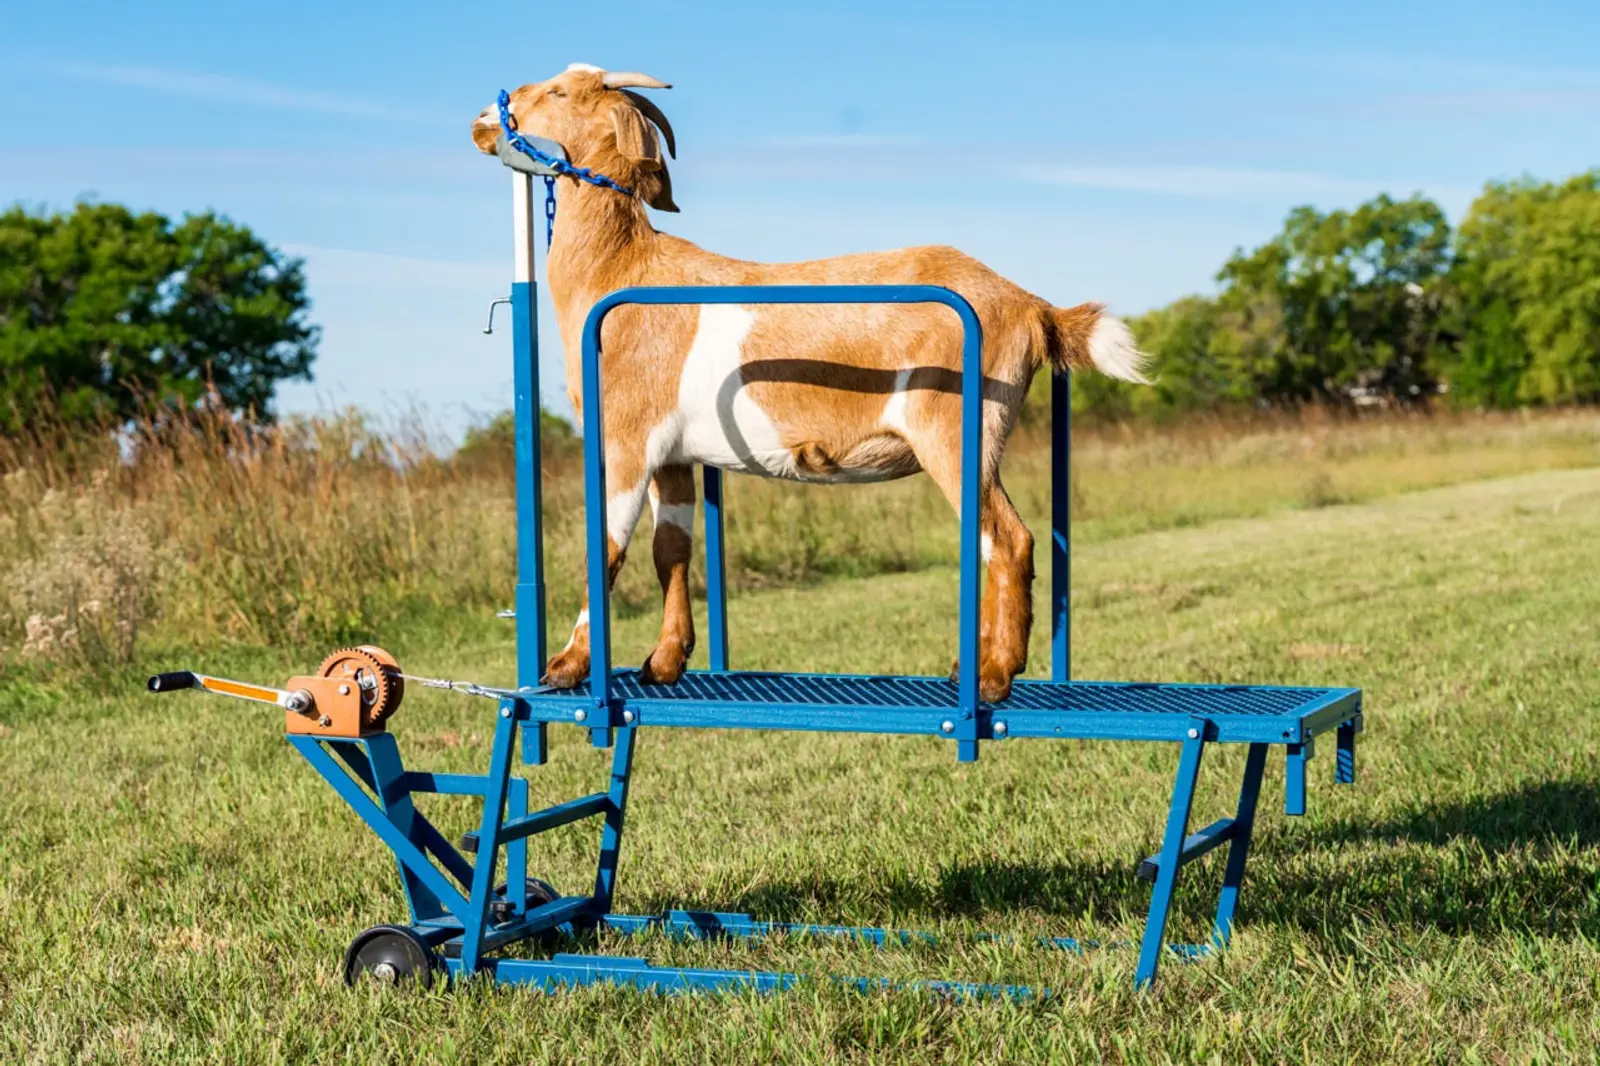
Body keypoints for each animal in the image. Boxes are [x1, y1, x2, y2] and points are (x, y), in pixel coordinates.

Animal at [471, 64, 1149, 703]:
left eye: (560, 93)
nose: (482, 117)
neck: (623, 269)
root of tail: (1031, 305)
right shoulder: (674, 454)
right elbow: (672, 550)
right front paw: (664, 662)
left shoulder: (627, 439)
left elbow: (605, 550)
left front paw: (566, 666)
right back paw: (972, 666)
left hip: (956, 432)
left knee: (1008, 540)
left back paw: (993, 678)